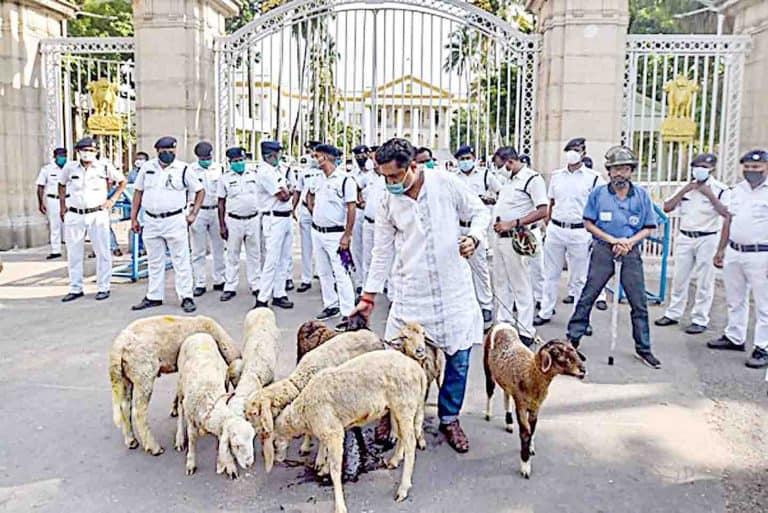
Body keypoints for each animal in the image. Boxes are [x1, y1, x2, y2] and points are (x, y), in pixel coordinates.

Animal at [108, 315, 241, 455]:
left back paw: (131, 440)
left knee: (124, 406)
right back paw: (154, 447)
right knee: (139, 412)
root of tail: (118, 346)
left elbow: (179, 390)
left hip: (125, 374)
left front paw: (174, 408)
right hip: (143, 372)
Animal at [173, 333, 255, 478]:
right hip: (181, 385)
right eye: (237, 445)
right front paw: (190, 463)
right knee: (180, 408)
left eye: (252, 439)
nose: (249, 464)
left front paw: (229, 465)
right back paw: (179, 438)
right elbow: (192, 440)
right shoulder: (191, 420)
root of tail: (198, 334)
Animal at [265, 350, 428, 513]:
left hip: (405, 404)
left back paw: (403, 489)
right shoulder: (329, 429)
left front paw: (340, 505)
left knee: (411, 443)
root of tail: (419, 371)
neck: (304, 413)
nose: (277, 460)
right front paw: (323, 468)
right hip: (397, 407)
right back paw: (395, 460)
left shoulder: (333, 431)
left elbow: (336, 469)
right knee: (402, 436)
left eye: (274, 442)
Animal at [483, 323, 586, 478]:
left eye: (574, 351)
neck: (531, 373)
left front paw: (530, 448)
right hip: (488, 367)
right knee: (490, 390)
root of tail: (502, 324)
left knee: (506, 394)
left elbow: (533, 428)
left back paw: (509, 423)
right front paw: (525, 467)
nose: (583, 370)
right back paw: (488, 414)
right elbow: (525, 433)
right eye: (558, 354)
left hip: (506, 381)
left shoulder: (535, 406)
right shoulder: (521, 405)